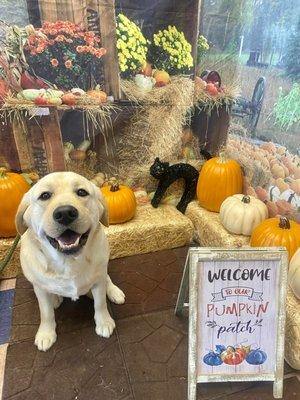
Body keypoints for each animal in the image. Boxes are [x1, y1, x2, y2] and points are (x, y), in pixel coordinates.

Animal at [14, 171, 125, 350]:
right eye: (45, 195)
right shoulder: (39, 288)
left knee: (107, 279)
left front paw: (104, 321)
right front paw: (46, 333)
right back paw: (56, 299)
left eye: (81, 192)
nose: (65, 213)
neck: (68, 262)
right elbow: (46, 313)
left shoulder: (98, 280)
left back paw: (114, 291)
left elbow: (100, 303)